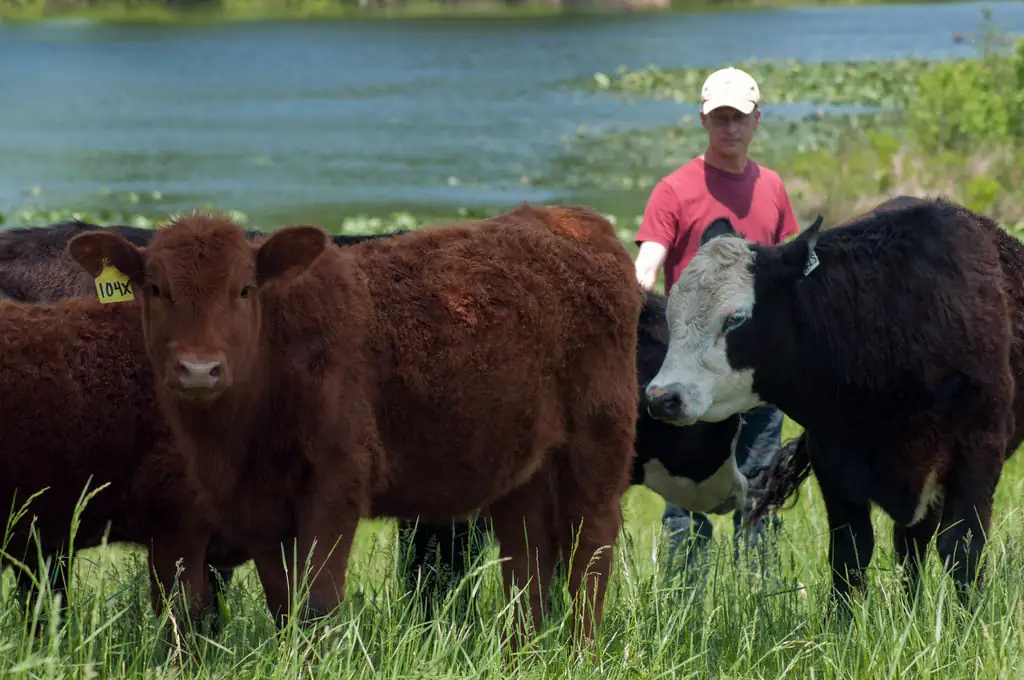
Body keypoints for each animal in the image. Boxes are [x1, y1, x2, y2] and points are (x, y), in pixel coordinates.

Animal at [642, 196, 1020, 618]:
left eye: (735, 318)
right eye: (671, 316)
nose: (661, 397)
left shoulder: (978, 450)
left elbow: (962, 547)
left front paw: (970, 623)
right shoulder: (833, 459)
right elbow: (850, 551)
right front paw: (840, 624)